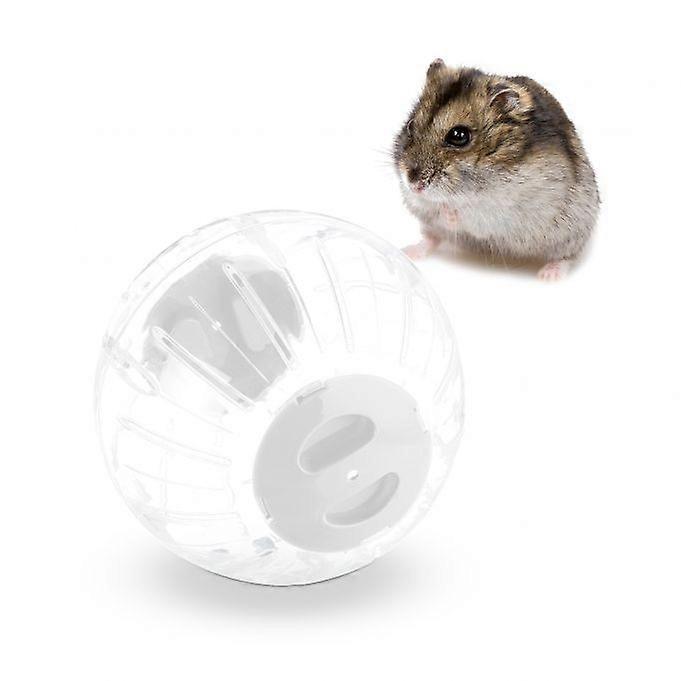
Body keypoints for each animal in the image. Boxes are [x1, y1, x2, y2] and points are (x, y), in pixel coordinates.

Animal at [394, 60, 599, 280]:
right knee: (432, 239)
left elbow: (467, 212)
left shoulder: (503, 210)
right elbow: (427, 206)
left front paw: (449, 211)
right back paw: (408, 252)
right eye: (410, 125)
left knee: (567, 257)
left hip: (572, 234)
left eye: (459, 135)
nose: (414, 184)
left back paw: (549, 275)